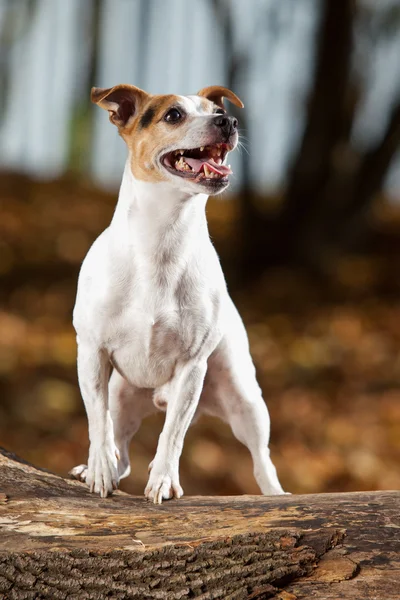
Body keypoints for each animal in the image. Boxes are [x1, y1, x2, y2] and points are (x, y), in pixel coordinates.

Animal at [69, 83, 284, 502]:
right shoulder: (91, 353)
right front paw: (98, 469)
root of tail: (156, 395)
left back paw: (278, 495)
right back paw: (101, 466)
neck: (162, 241)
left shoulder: (191, 367)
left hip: (245, 401)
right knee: (121, 449)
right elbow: (97, 422)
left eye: (216, 110)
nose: (228, 121)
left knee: (261, 461)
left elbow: (172, 434)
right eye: (173, 115)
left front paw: (164, 479)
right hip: (123, 396)